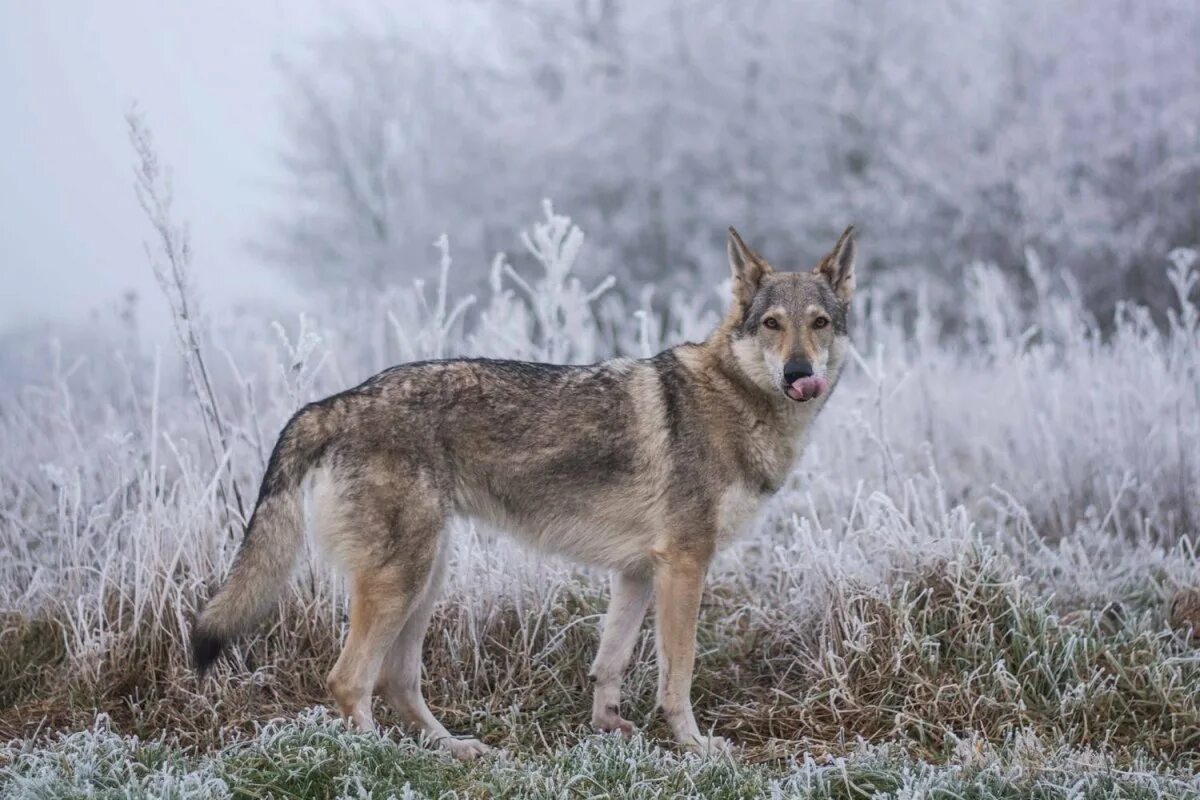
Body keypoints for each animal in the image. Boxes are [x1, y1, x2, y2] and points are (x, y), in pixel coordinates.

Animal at [192, 225, 859, 758]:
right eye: (772, 324)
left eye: (819, 324)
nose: (800, 373)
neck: (736, 401)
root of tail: (335, 402)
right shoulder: (685, 565)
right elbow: (678, 675)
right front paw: (695, 747)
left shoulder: (640, 572)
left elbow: (609, 663)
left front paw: (610, 730)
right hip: (402, 581)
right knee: (349, 681)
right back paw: (379, 759)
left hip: (426, 578)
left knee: (396, 682)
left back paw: (454, 750)